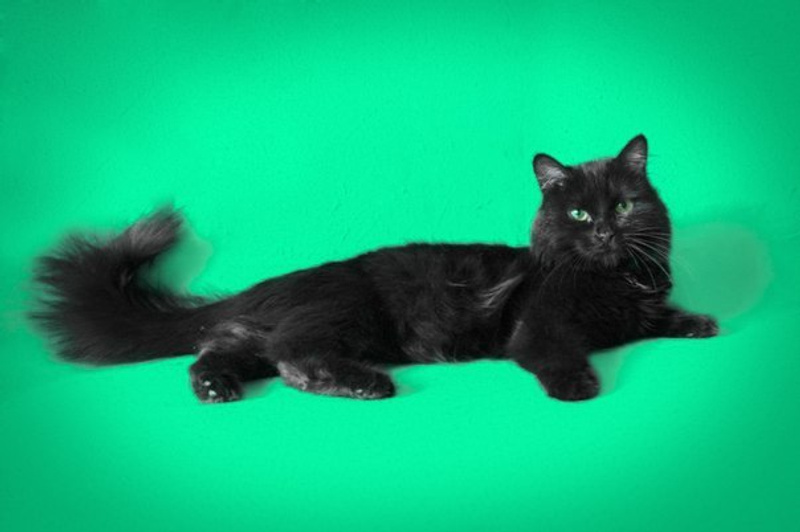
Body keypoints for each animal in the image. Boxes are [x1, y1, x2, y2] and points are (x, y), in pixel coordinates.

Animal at [30, 135, 719, 403]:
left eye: (624, 206)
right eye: (578, 212)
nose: (604, 231)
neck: (615, 278)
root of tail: (276, 284)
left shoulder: (641, 305)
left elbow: (662, 317)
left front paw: (701, 323)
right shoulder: (541, 327)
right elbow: (558, 353)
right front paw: (578, 386)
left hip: (279, 331)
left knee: (224, 350)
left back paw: (215, 389)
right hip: (349, 315)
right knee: (294, 358)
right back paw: (366, 386)